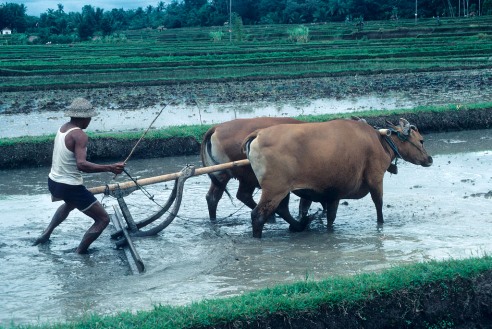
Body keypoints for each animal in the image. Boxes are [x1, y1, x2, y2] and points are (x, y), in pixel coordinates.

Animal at [244, 118, 432, 238]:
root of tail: (259, 133)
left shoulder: (333, 194)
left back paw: (300, 225)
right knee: (258, 215)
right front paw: (381, 223)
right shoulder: (375, 178)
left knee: (282, 210)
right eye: (421, 141)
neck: (378, 141)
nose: (430, 159)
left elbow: (330, 218)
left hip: (283, 190)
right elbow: (378, 204)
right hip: (275, 190)